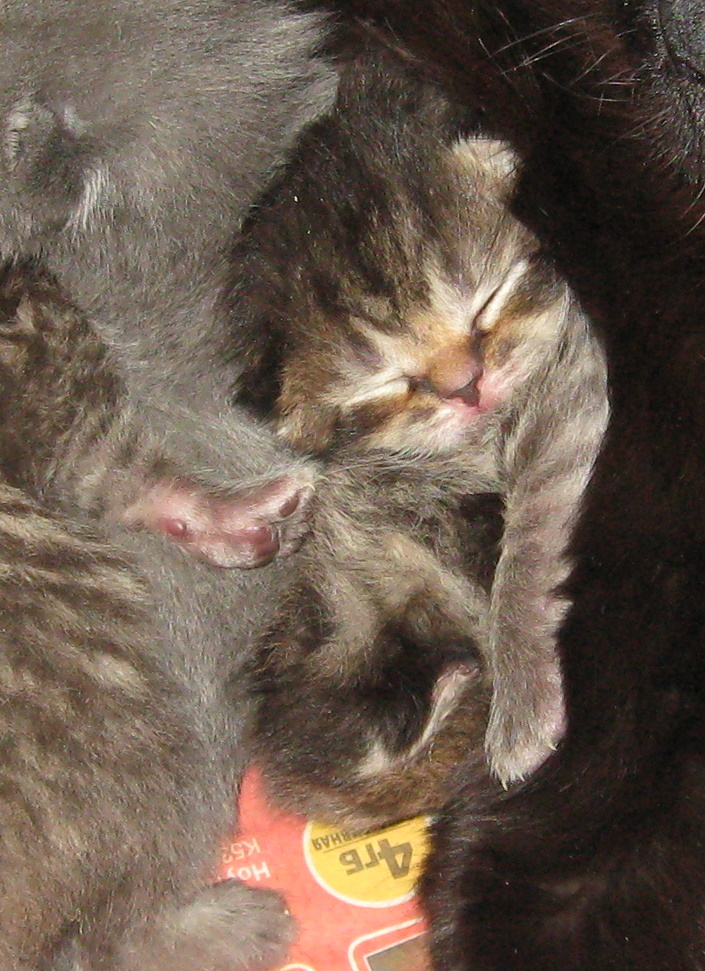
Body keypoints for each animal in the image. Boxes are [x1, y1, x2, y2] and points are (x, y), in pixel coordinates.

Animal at [229, 51, 609, 796]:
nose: (467, 386)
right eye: (388, 381)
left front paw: (521, 696)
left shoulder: (571, 360)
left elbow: (529, 531)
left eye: (486, 300)